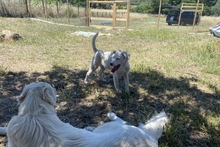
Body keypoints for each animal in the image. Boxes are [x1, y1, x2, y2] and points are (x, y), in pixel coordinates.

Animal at [6, 82, 168, 146]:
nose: (57, 89)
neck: (34, 115)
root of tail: (150, 135)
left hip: (113, 127)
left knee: (122, 121)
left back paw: (110, 115)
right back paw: (89, 128)